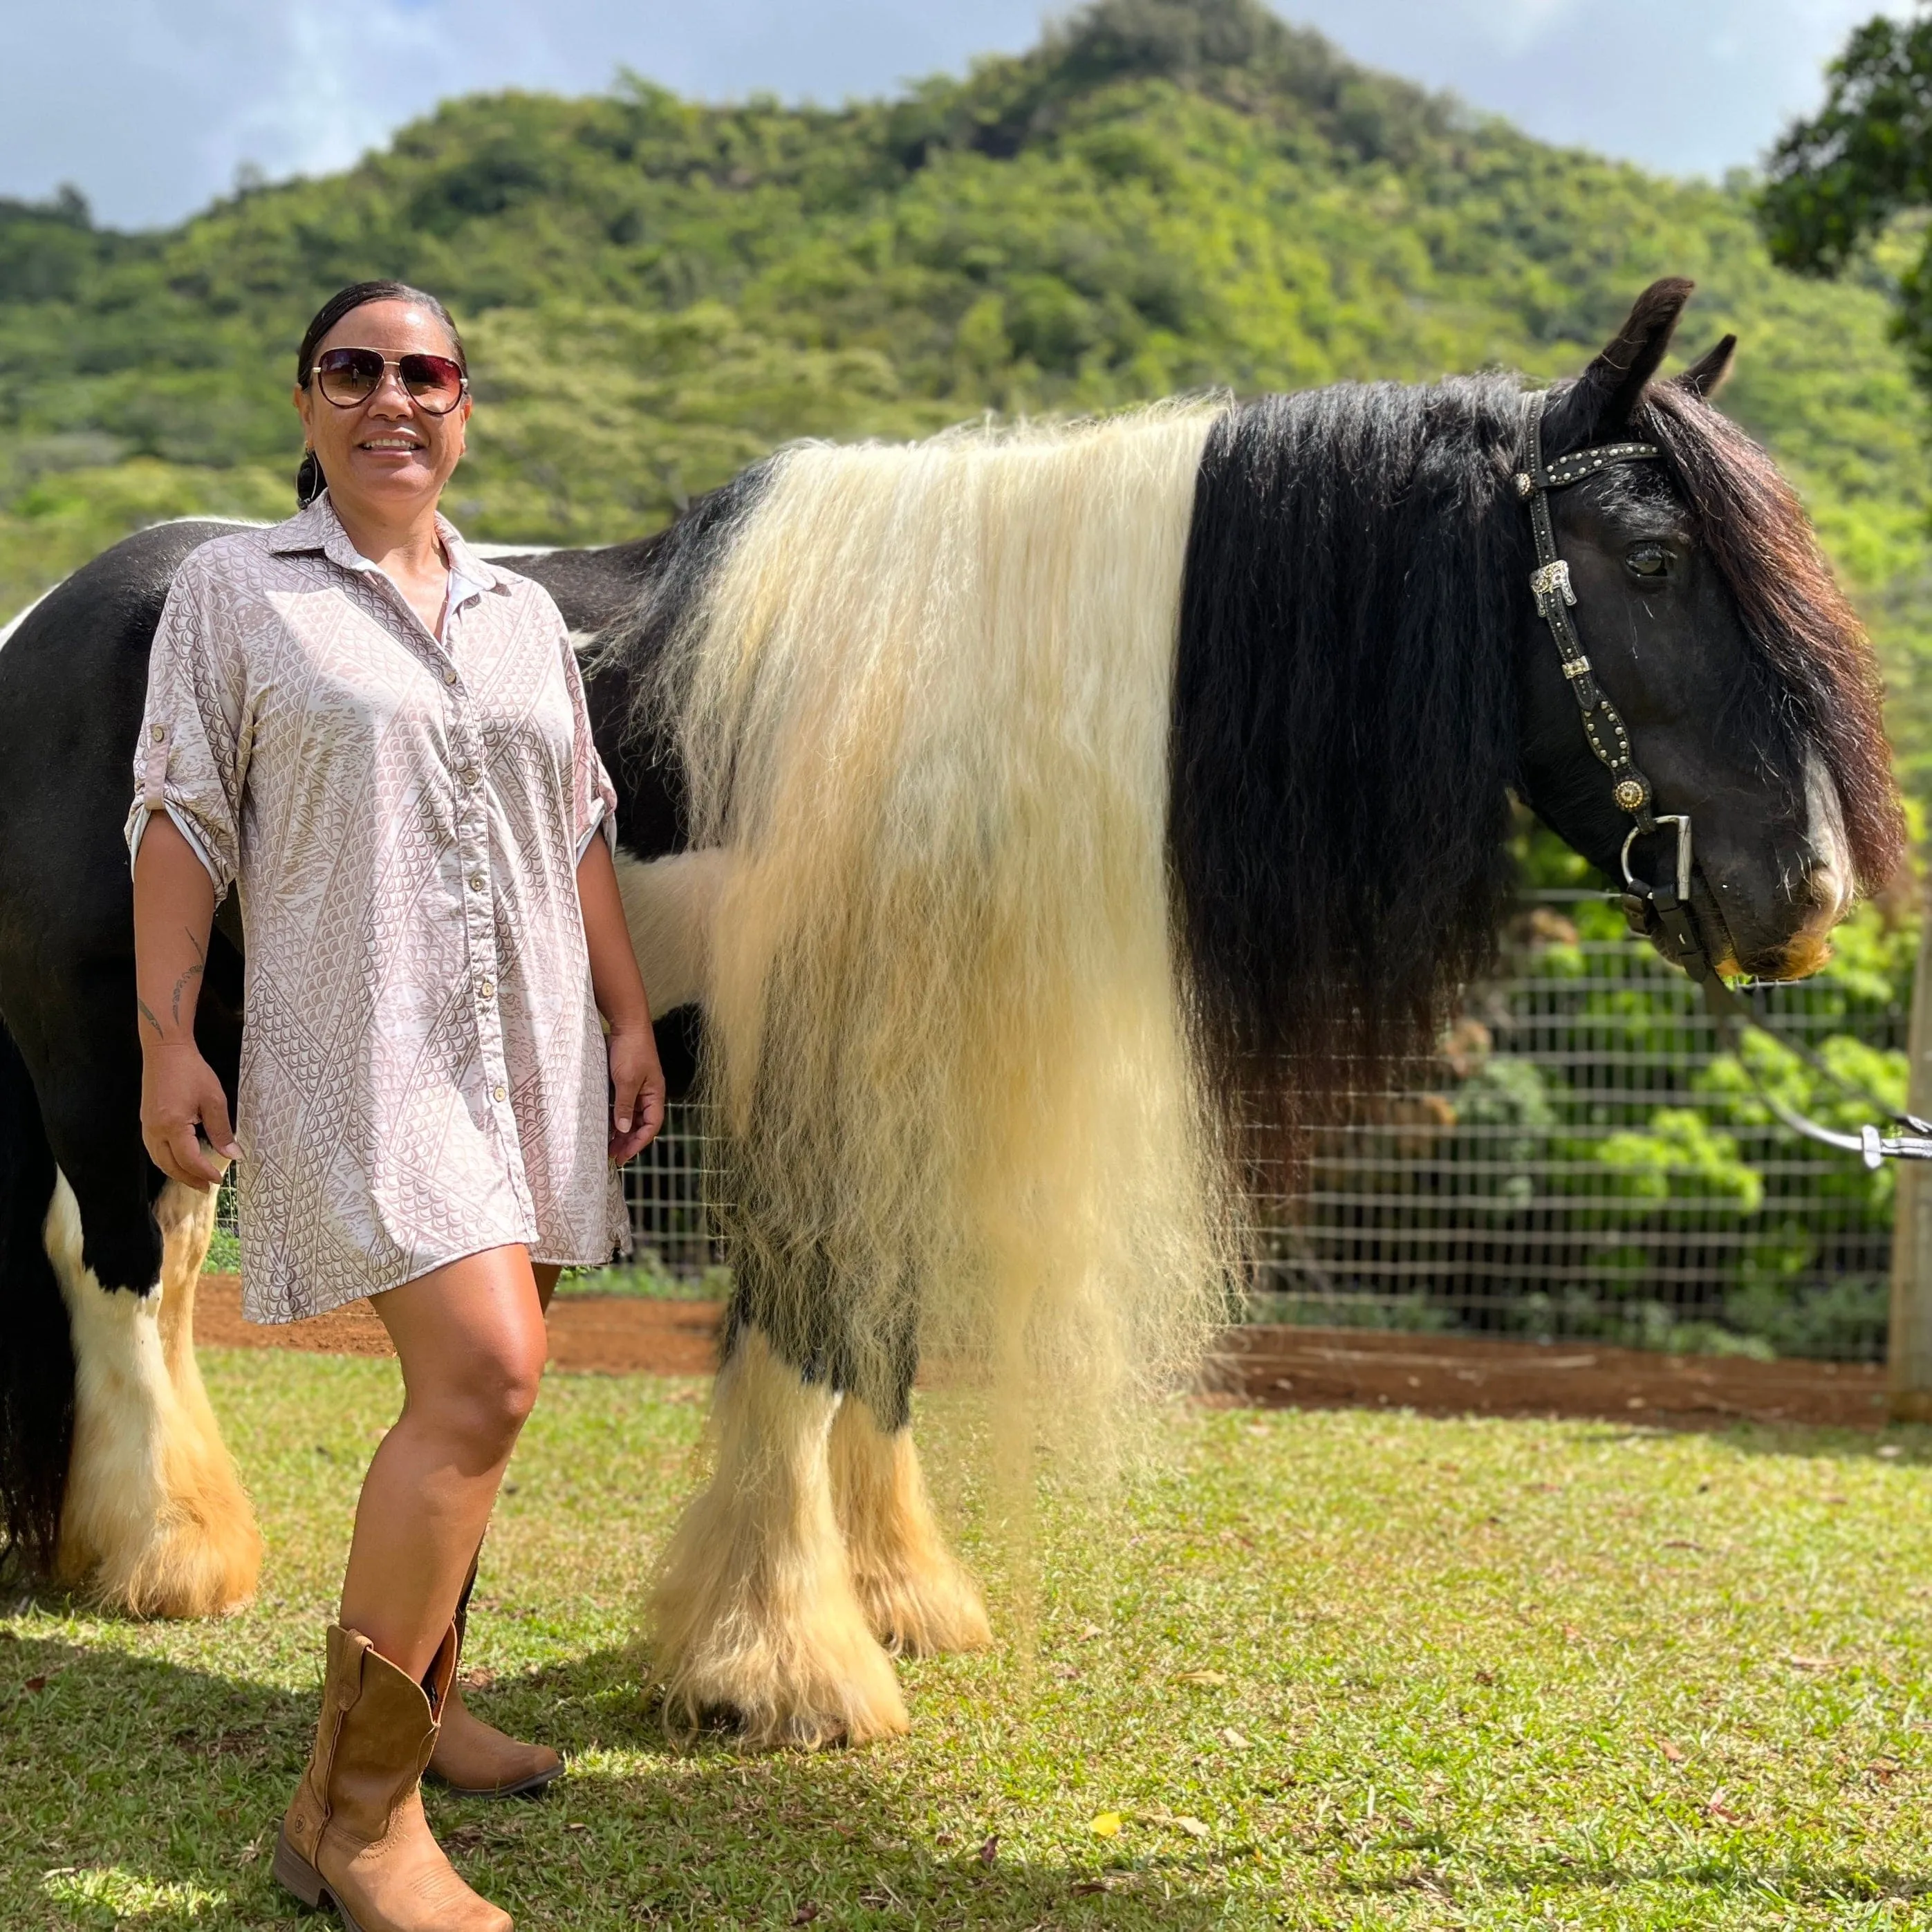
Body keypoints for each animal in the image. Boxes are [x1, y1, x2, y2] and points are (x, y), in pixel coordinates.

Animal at [0, 276, 1901, 1754]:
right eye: (1648, 555)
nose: (1802, 892)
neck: (973, 714)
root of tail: (51, 617)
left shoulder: (911, 1059)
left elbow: (882, 1336)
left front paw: (898, 1588)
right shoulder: (815, 1066)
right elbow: (797, 1333)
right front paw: (777, 1664)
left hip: (206, 1062)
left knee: (161, 1252)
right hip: (109, 1041)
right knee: (112, 1259)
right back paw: (166, 1551)